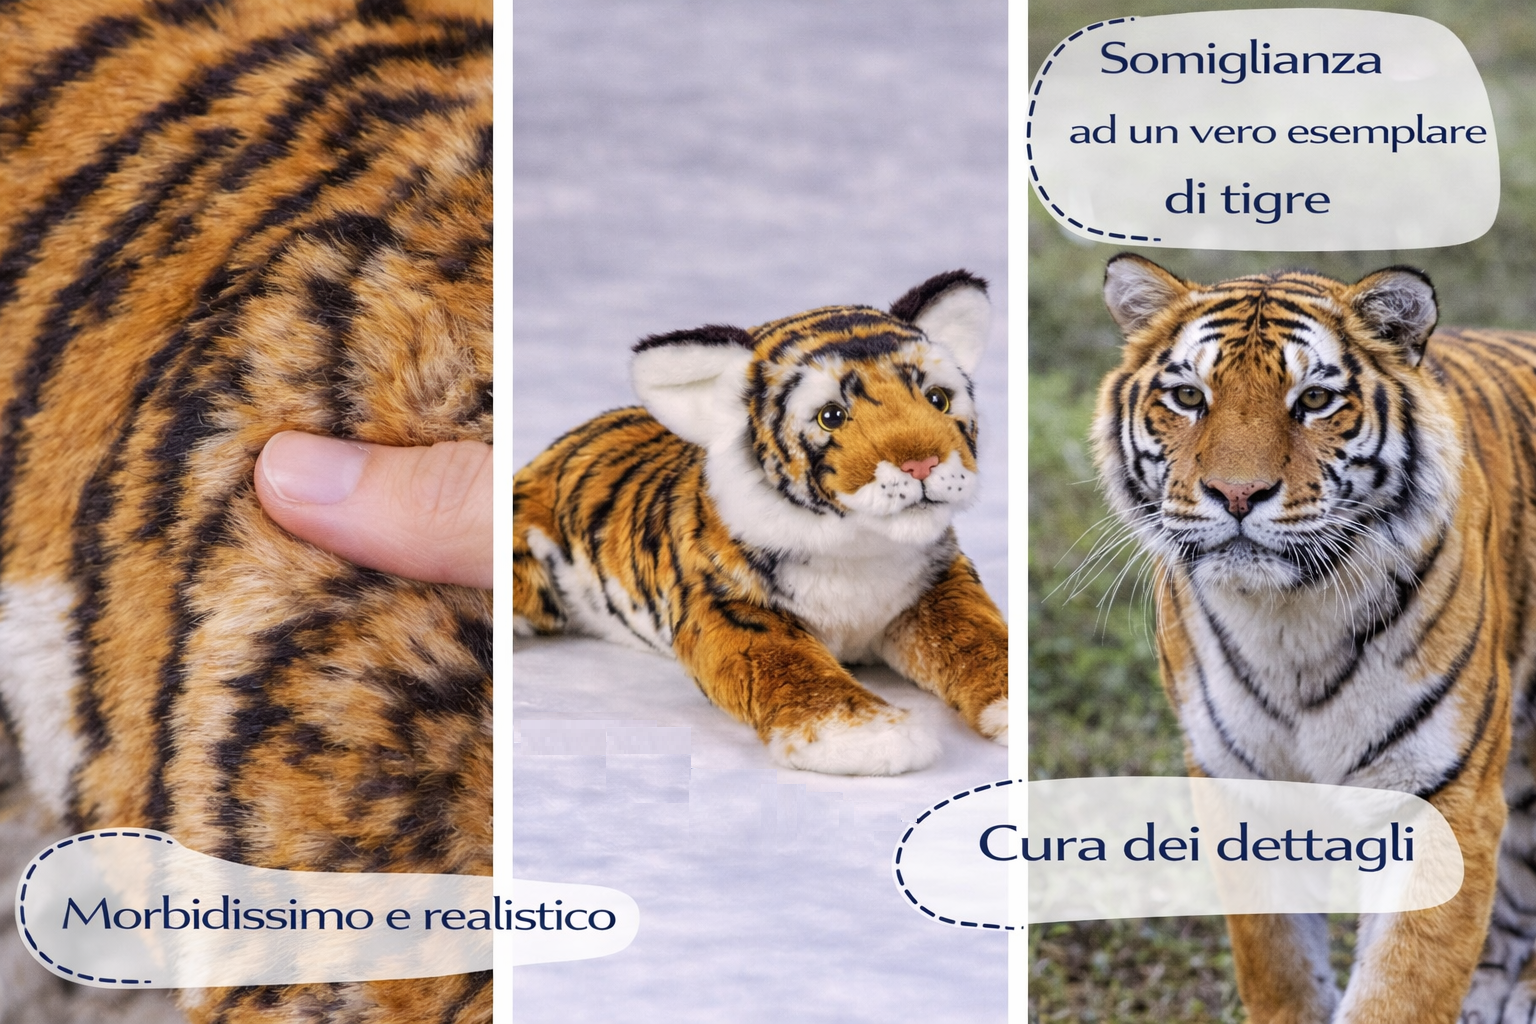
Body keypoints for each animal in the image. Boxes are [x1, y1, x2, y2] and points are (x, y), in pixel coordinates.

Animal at [512, 271, 1009, 776]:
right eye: (832, 416)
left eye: (937, 399)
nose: (921, 463)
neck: (859, 549)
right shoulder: (727, 607)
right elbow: (789, 664)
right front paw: (867, 736)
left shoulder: (939, 586)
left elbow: (980, 638)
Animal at [1088, 252, 1536, 1023]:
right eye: (1188, 396)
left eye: (1316, 400)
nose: (1238, 494)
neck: (1287, 618)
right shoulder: (1237, 780)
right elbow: (1277, 964)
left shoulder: (1444, 795)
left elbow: (1403, 986)